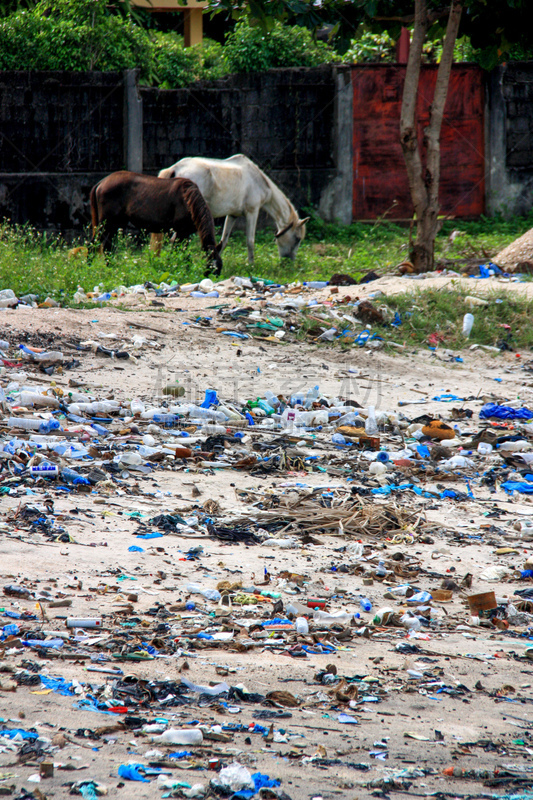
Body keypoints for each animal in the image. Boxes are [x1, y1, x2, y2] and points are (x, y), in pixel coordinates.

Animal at [89, 170, 220, 276]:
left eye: (219, 266)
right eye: (211, 267)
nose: (213, 278)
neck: (187, 201)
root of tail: (101, 182)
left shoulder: (186, 234)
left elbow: (182, 253)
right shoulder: (181, 233)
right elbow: (179, 253)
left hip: (115, 225)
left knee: (107, 247)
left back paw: (111, 268)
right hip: (106, 224)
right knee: (93, 244)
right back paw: (89, 267)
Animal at [151, 155, 308, 266]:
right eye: (297, 238)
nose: (289, 264)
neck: (257, 181)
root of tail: (175, 168)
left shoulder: (232, 215)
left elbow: (223, 241)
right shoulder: (252, 212)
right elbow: (250, 241)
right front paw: (251, 266)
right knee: (177, 241)